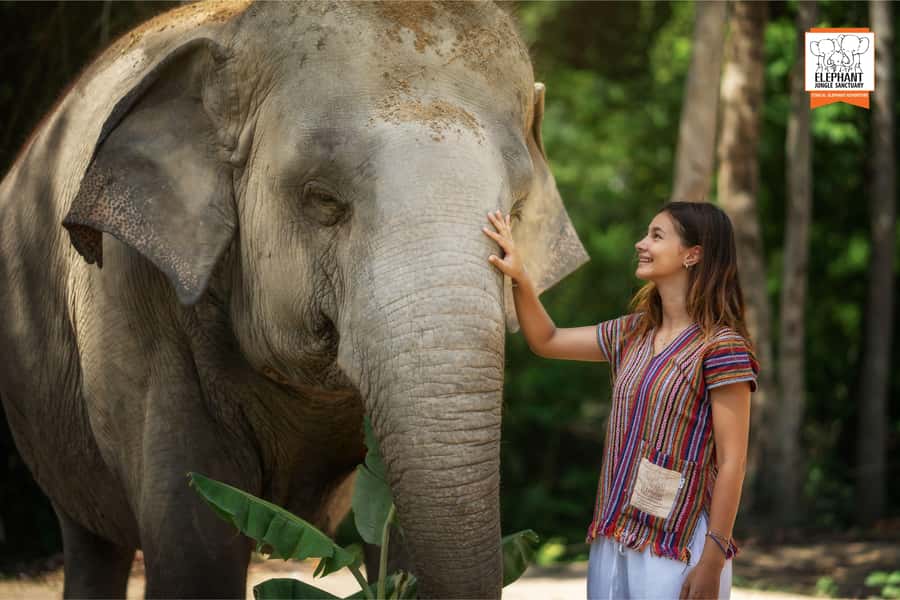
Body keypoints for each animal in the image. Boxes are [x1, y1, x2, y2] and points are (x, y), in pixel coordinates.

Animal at [0, 1, 588, 599]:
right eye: (323, 200)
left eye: (516, 211)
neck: (233, 31)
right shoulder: (131, 297)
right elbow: (195, 551)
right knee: (93, 539)